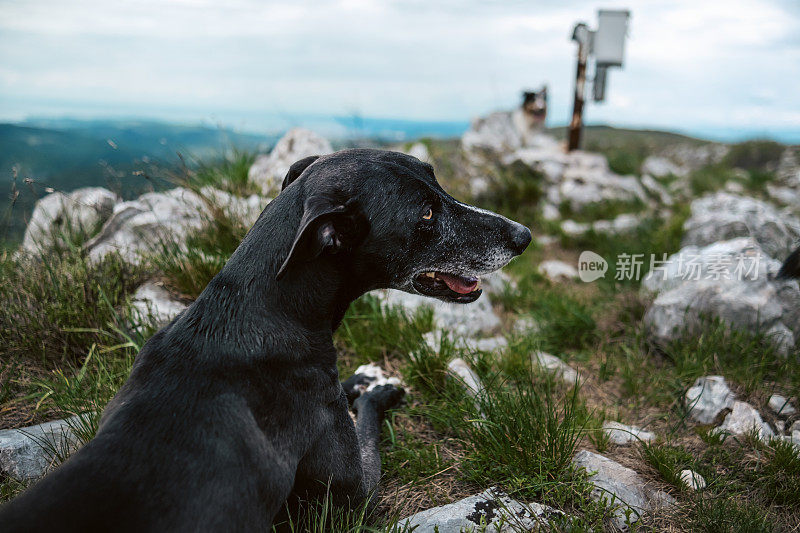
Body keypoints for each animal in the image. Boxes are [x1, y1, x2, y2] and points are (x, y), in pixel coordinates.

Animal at [0, 148, 532, 528]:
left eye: (435, 179)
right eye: (425, 214)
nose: (523, 236)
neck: (265, 307)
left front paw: (361, 377)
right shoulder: (355, 491)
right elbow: (364, 417)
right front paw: (379, 388)